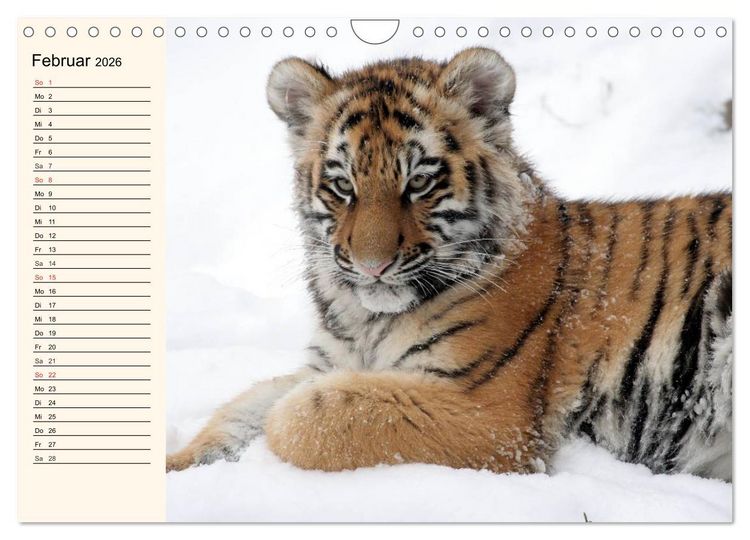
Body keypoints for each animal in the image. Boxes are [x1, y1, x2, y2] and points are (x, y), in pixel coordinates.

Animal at [166, 47, 733, 481]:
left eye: (419, 182)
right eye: (342, 185)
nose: (372, 266)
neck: (365, 320)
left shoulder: (488, 416)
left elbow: (307, 415)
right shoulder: (328, 362)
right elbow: (239, 412)